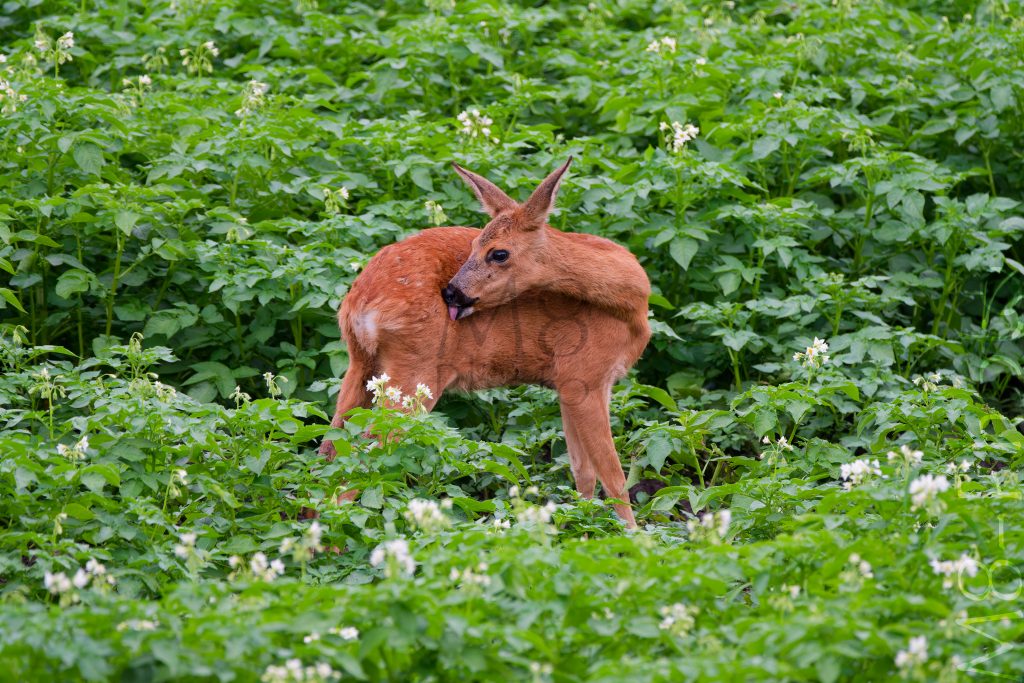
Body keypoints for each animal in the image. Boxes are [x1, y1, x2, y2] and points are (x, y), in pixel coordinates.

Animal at [318, 158, 651, 527]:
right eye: (475, 243)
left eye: (498, 252)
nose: (451, 293)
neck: (630, 303)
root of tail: (360, 302)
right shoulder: (583, 375)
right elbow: (614, 477)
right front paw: (631, 536)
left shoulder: (573, 385)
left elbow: (583, 474)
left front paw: (580, 529)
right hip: (415, 373)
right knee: (365, 453)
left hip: (360, 365)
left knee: (329, 450)